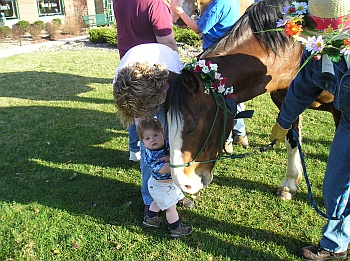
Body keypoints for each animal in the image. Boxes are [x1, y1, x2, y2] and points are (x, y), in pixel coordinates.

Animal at [167, 0, 342, 198]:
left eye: (192, 127)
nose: (184, 184)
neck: (297, 50)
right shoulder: (288, 102)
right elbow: (292, 140)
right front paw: (289, 184)